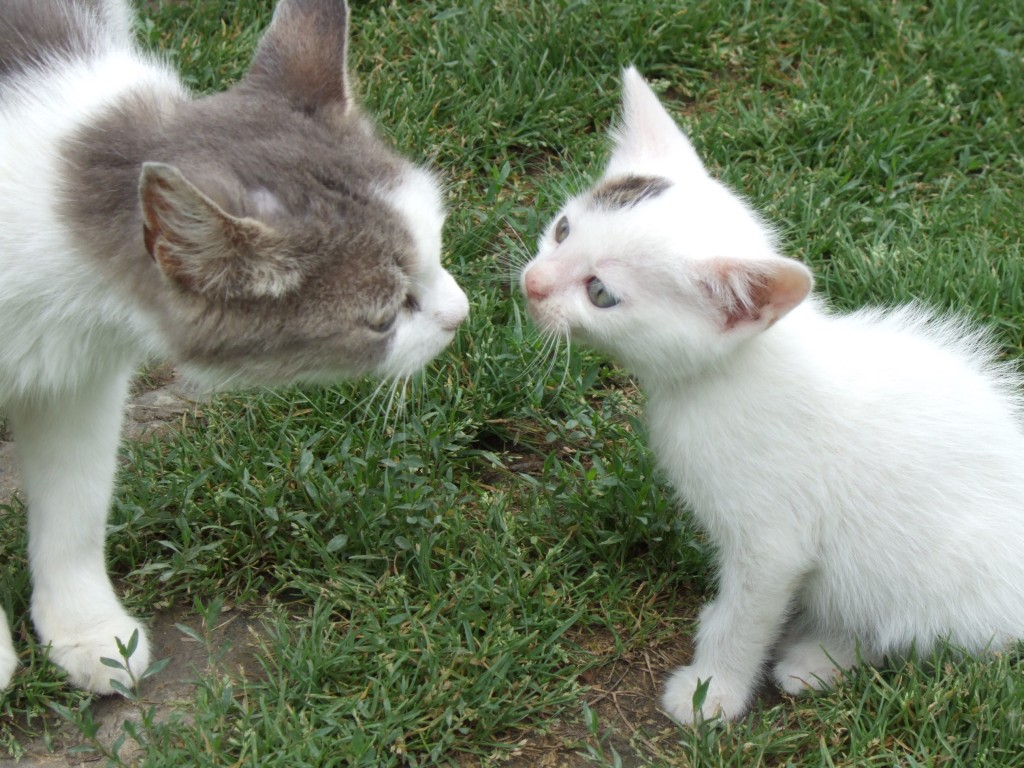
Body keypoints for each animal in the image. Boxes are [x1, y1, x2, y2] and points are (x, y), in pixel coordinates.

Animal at [0, 0, 468, 696]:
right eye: (385, 316)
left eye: (437, 246)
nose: (462, 313)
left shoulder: (79, 375)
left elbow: (76, 501)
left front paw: (88, 631)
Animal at [524, 69, 1024, 724]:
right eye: (561, 230)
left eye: (600, 293)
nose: (531, 284)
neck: (726, 376)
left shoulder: (773, 542)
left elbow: (748, 614)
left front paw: (711, 693)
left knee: (916, 628)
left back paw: (820, 659)